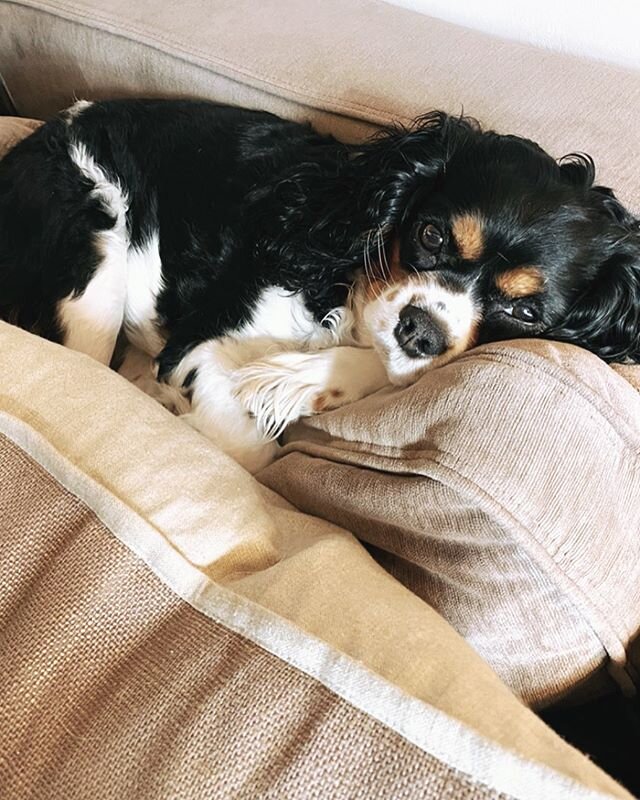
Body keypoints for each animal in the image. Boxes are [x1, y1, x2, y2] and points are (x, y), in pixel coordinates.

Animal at [0, 100, 636, 472]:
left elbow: (375, 367)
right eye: (430, 234)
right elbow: (250, 450)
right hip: (97, 257)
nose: (421, 332)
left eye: (526, 314)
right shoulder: (199, 346)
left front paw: (294, 378)